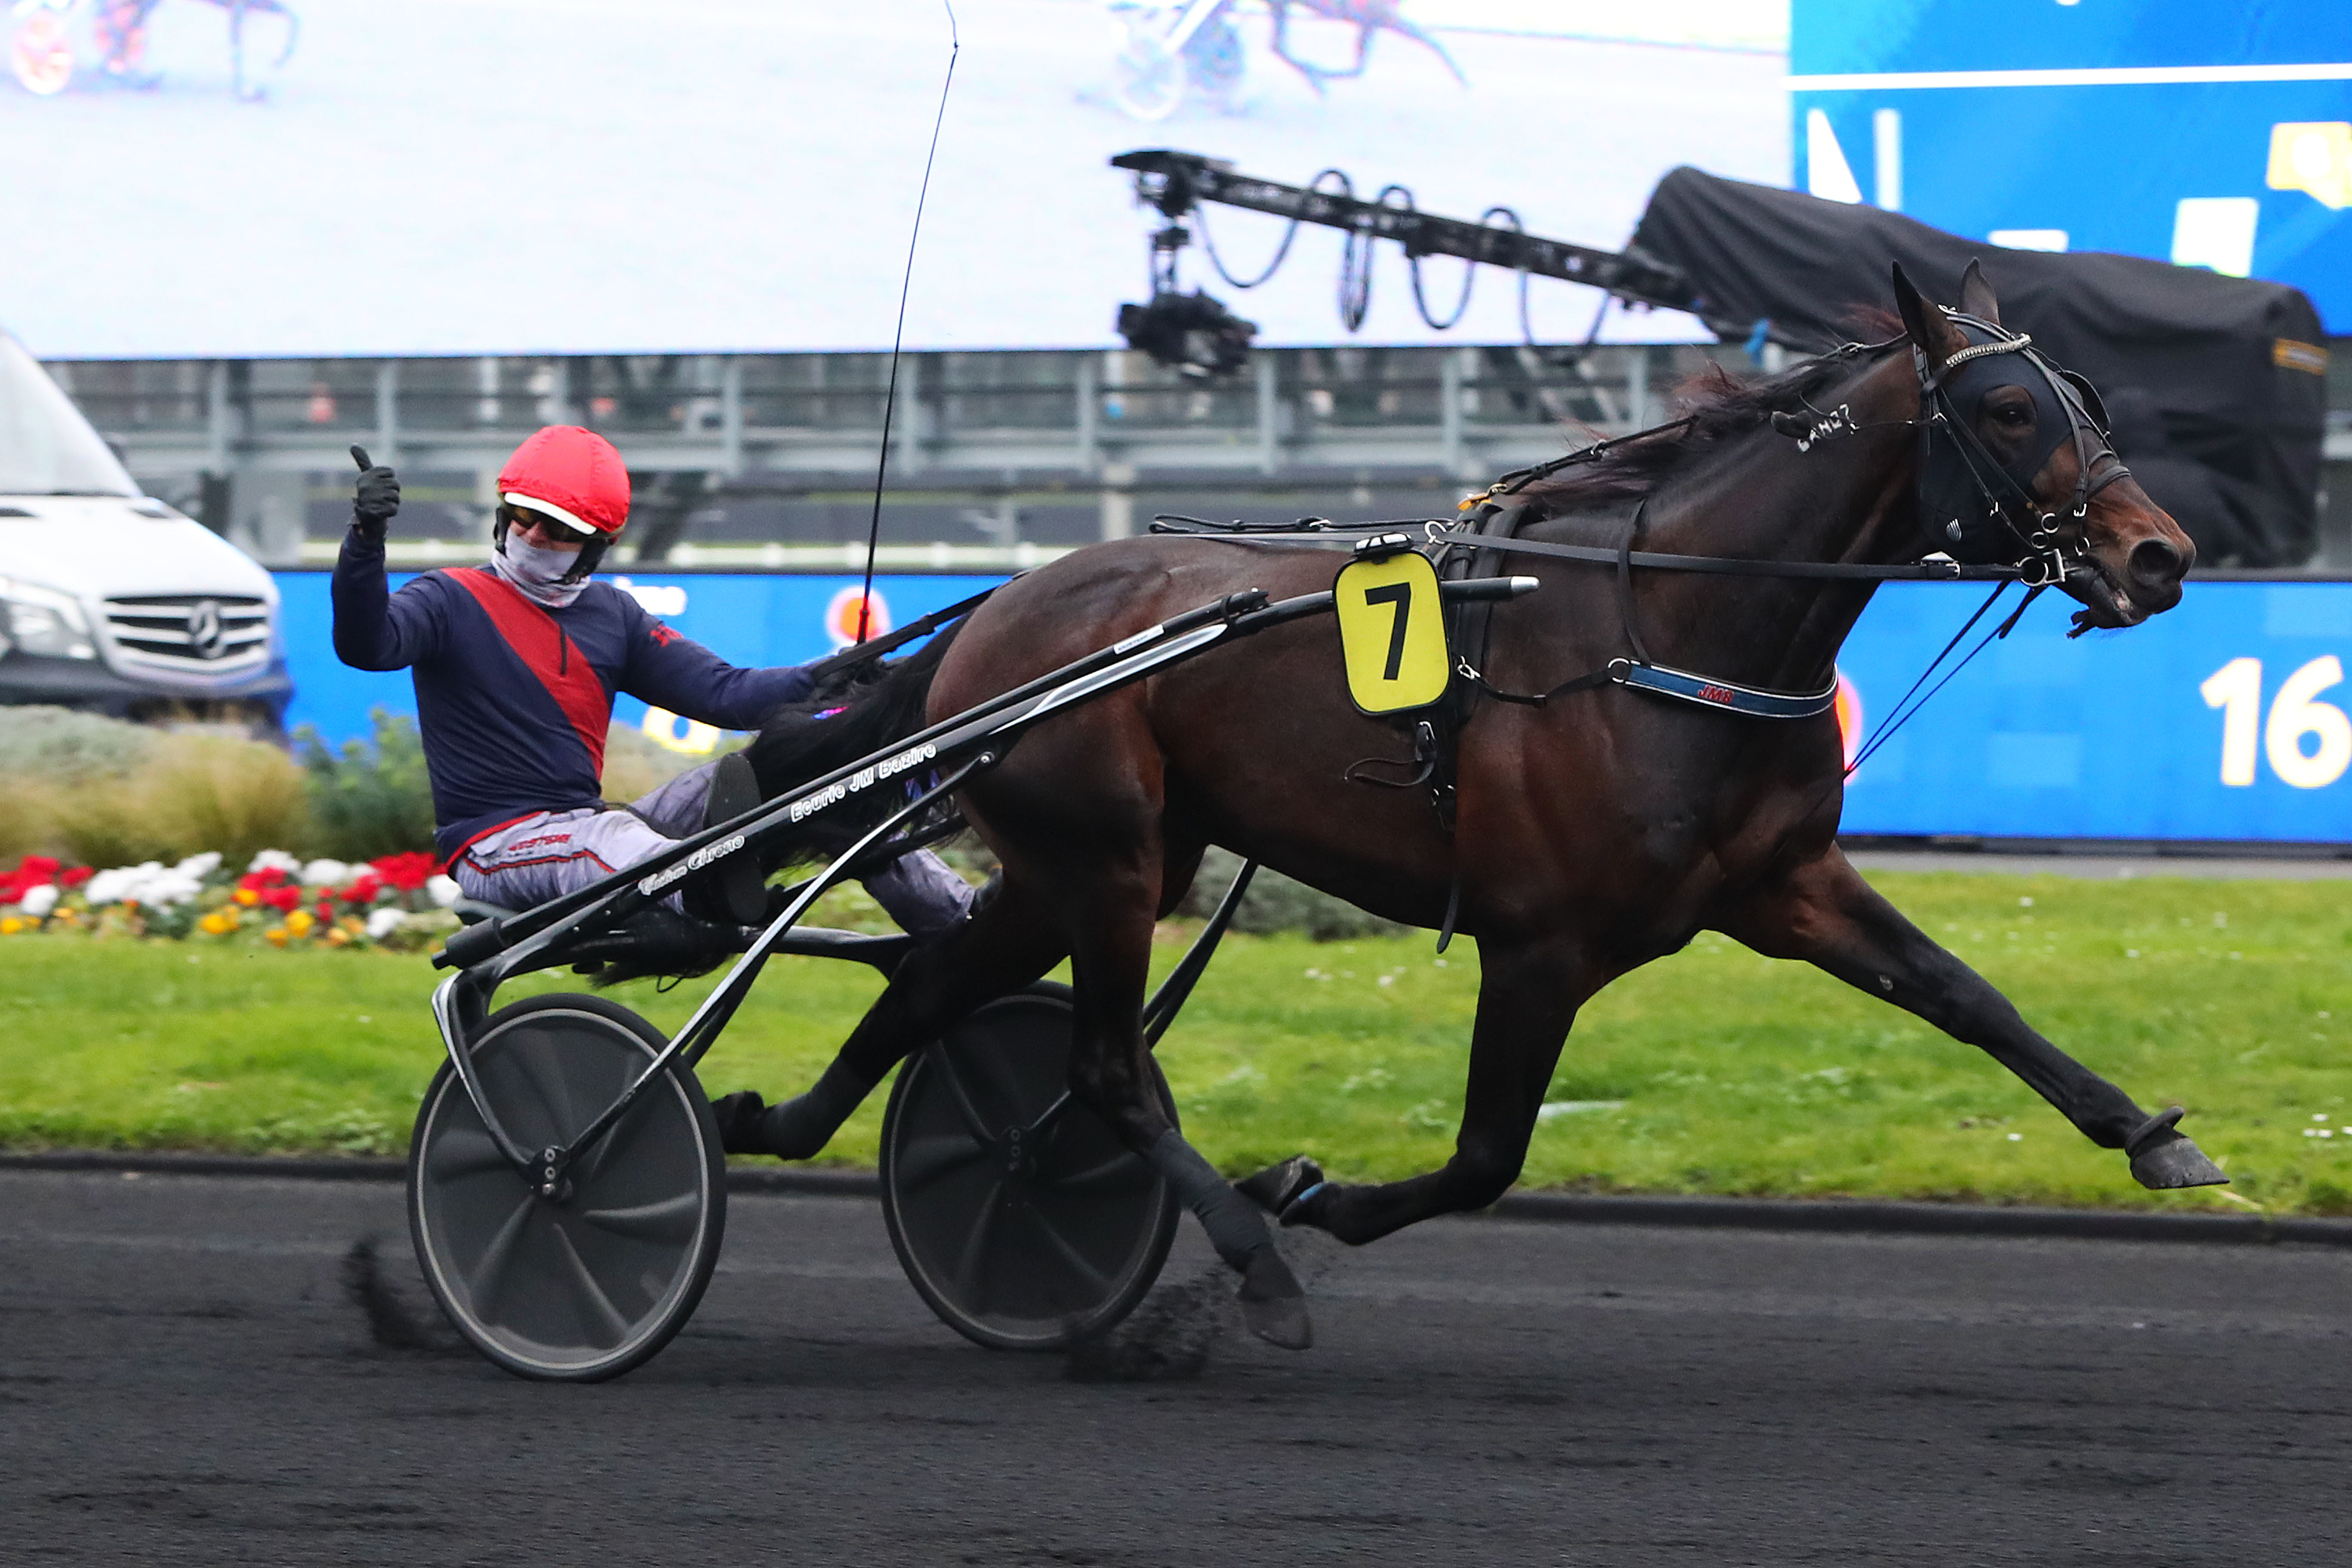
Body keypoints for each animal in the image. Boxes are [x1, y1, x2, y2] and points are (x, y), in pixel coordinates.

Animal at [734, 266, 2220, 1354]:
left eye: (2086, 395)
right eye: (2012, 410)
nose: (2161, 555)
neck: (1668, 630)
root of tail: (999, 607)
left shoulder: (1784, 883)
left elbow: (1970, 998)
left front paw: (2154, 1135)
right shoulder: (1540, 943)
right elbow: (1488, 1156)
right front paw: (1307, 1194)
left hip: (1100, 864)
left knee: (933, 987)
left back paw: (782, 1127)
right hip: (1101, 860)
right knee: (1101, 1066)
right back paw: (1253, 1264)